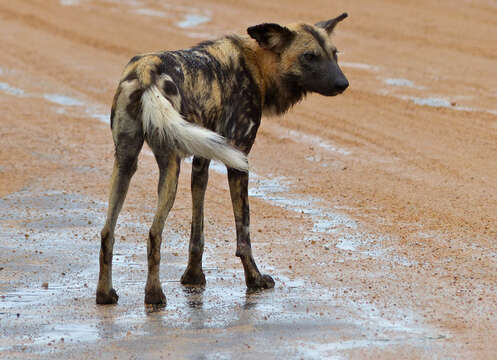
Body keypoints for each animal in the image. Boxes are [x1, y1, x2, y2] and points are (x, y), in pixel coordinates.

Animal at [97, 12, 348, 306]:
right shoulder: (238, 160)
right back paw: (154, 295)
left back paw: (104, 294)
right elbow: (244, 234)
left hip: (126, 161)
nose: (343, 84)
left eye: (334, 54)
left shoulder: (203, 158)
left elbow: (197, 231)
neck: (256, 66)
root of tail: (146, 70)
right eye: (309, 56)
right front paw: (254, 280)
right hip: (170, 165)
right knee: (154, 233)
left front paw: (193, 277)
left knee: (108, 232)